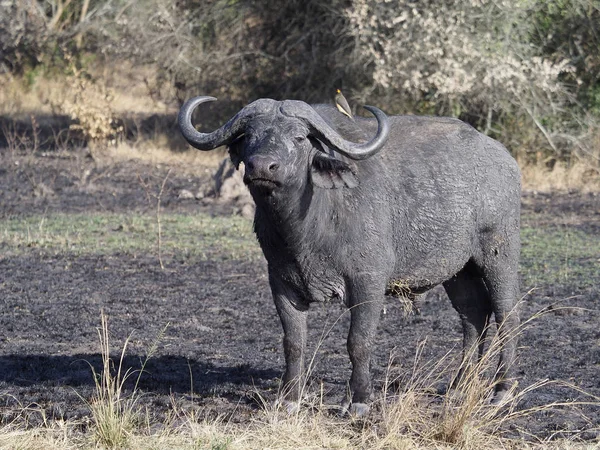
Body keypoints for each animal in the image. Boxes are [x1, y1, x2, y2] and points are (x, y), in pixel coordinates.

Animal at [177, 96, 520, 416]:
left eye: (299, 137)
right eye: (250, 135)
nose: (262, 167)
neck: (307, 226)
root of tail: (504, 159)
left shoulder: (368, 283)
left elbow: (358, 341)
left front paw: (359, 401)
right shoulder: (281, 283)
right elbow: (293, 342)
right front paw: (289, 398)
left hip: (499, 254)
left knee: (506, 314)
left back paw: (501, 390)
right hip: (458, 271)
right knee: (473, 315)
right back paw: (461, 386)